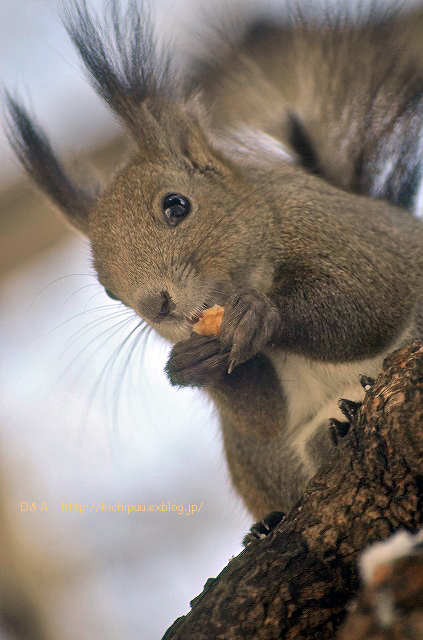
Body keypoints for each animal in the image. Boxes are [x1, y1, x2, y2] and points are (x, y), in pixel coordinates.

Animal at [5, 2, 423, 524]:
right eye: (109, 291)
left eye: (176, 205)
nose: (157, 306)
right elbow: (262, 417)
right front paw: (191, 364)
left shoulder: (352, 234)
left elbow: (372, 299)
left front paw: (265, 313)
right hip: (264, 463)